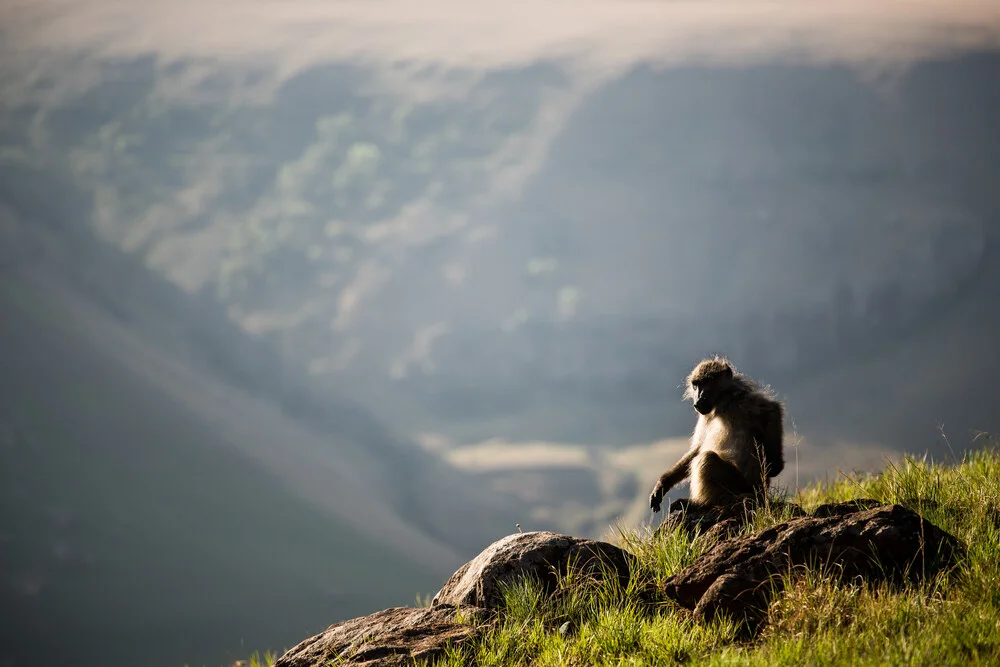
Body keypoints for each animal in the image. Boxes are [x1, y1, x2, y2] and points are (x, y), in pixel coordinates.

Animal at [652, 358, 784, 516]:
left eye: (705, 382)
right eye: (696, 385)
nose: (698, 400)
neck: (722, 400)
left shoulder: (740, 398)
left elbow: (772, 409)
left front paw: (775, 465)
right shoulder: (707, 414)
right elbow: (698, 447)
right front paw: (662, 484)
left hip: (739, 485)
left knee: (707, 459)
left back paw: (699, 505)